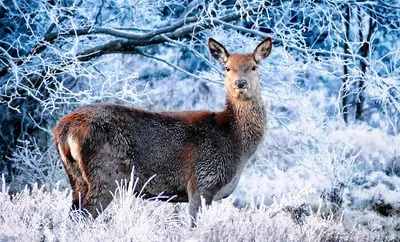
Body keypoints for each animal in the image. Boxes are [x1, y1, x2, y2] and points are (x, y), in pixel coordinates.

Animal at [53, 36, 272, 227]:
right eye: (227, 68)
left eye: (254, 66)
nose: (240, 84)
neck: (235, 142)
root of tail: (63, 130)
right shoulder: (202, 182)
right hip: (106, 174)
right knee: (83, 217)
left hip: (76, 178)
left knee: (72, 215)